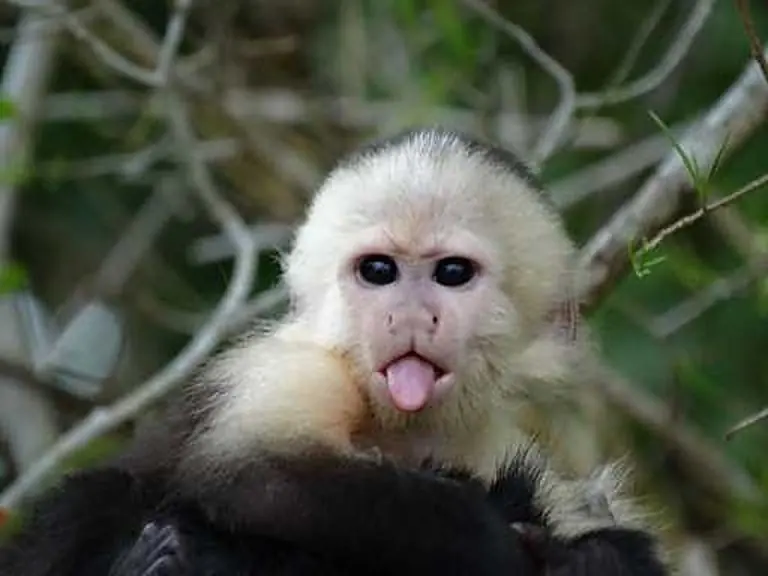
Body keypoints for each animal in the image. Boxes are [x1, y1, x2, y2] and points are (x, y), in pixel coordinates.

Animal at [0, 127, 668, 575]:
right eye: (379, 271)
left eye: (452, 274)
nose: (409, 314)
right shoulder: (302, 371)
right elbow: (258, 475)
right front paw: (490, 539)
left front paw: (585, 556)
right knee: (102, 500)